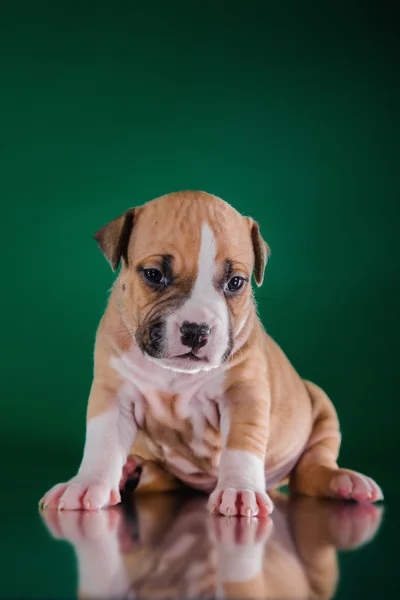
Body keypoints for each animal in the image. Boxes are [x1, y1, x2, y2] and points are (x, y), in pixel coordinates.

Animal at [39, 191, 382, 516]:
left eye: (236, 282)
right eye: (153, 274)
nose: (196, 330)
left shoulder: (244, 394)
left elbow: (241, 446)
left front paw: (241, 490)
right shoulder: (113, 394)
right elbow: (103, 443)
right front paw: (86, 485)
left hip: (319, 402)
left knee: (312, 470)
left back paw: (345, 482)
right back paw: (133, 472)